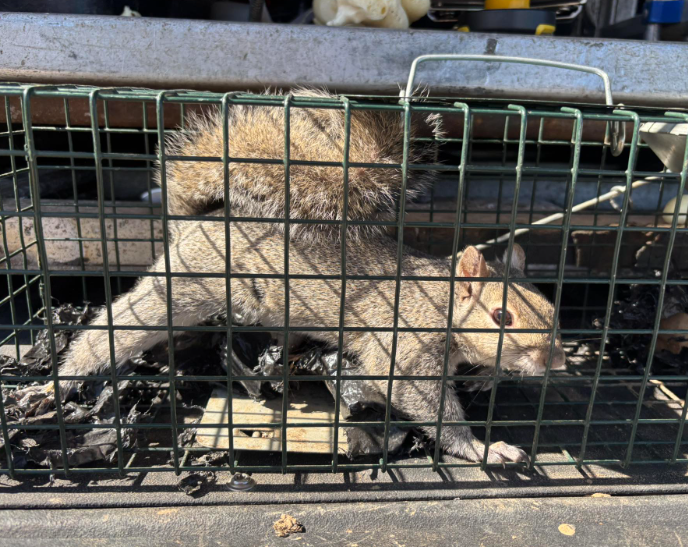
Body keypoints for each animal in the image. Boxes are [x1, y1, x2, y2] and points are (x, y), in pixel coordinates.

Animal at [54, 89, 565, 464]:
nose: (556, 362)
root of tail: (201, 221)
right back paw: (62, 378)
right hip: (184, 285)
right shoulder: (404, 350)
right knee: (120, 326)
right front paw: (483, 448)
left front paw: (487, 377)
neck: (439, 306)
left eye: (553, 309)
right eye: (501, 317)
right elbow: (423, 401)